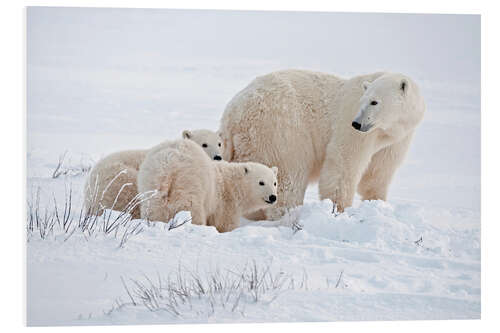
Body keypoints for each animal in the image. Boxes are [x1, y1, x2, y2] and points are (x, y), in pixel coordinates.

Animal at [137, 139, 278, 232]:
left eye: (275, 182)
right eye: (261, 182)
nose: (273, 197)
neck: (230, 182)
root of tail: (168, 165)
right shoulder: (224, 203)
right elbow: (224, 224)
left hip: (150, 185)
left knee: (154, 211)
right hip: (189, 184)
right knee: (193, 211)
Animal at [220, 69, 426, 218]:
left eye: (374, 102)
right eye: (363, 101)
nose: (356, 123)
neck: (388, 129)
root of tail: (233, 113)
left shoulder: (396, 139)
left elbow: (378, 173)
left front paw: (377, 203)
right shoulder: (352, 129)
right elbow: (343, 163)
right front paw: (338, 210)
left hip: (248, 141)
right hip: (281, 131)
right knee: (289, 176)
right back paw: (286, 214)